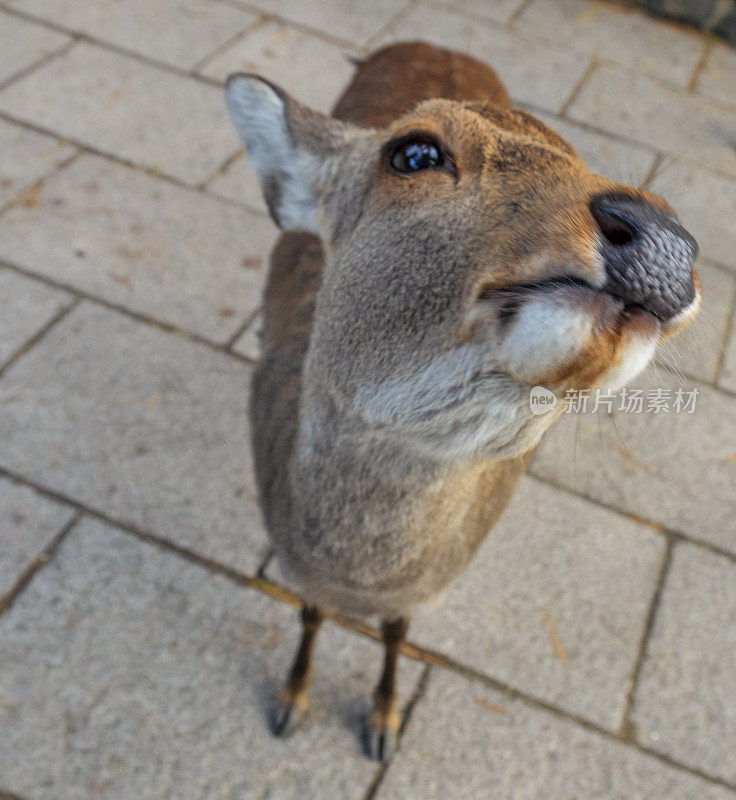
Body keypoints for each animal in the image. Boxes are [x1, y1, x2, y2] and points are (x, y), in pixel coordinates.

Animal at [226, 40, 700, 760]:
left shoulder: (431, 588)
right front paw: (290, 705)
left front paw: (384, 725)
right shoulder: (293, 562)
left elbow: (397, 631)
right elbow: (308, 611)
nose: (664, 234)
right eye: (414, 153)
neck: (357, 576)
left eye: (582, 156)